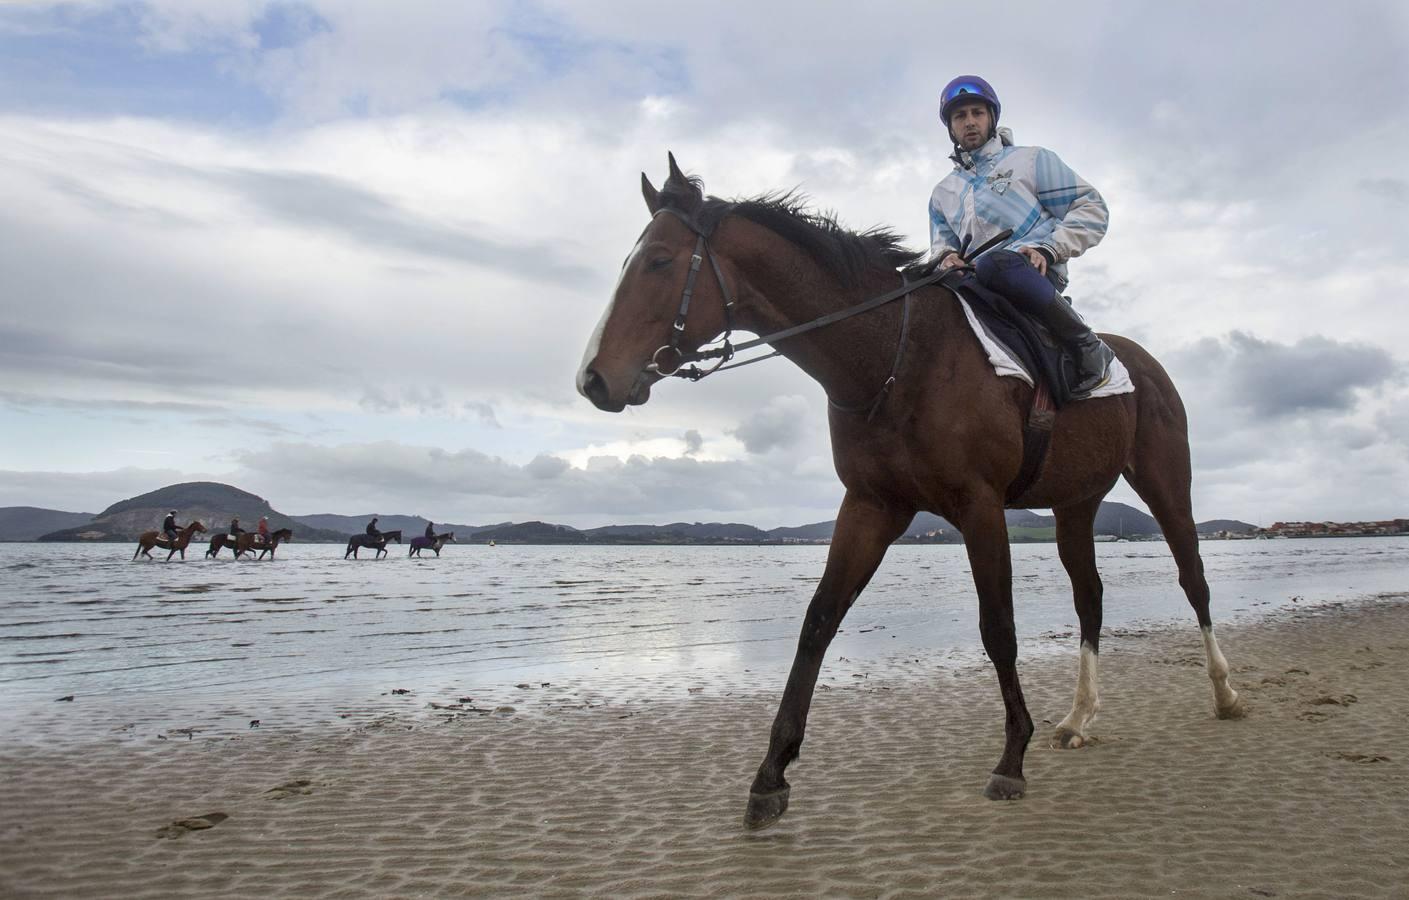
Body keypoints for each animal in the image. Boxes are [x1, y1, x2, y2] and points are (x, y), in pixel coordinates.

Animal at [574, 153, 1245, 833]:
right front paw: (771, 774)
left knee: (1193, 579)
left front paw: (1012, 758)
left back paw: (1224, 692)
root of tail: (1138, 360)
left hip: (1166, 483)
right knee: (1091, 598)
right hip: (1075, 506)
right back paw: (1079, 718)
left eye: (659, 261)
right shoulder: (871, 506)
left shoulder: (979, 507)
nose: (592, 379)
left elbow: (998, 627)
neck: (894, 357)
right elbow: (819, 621)